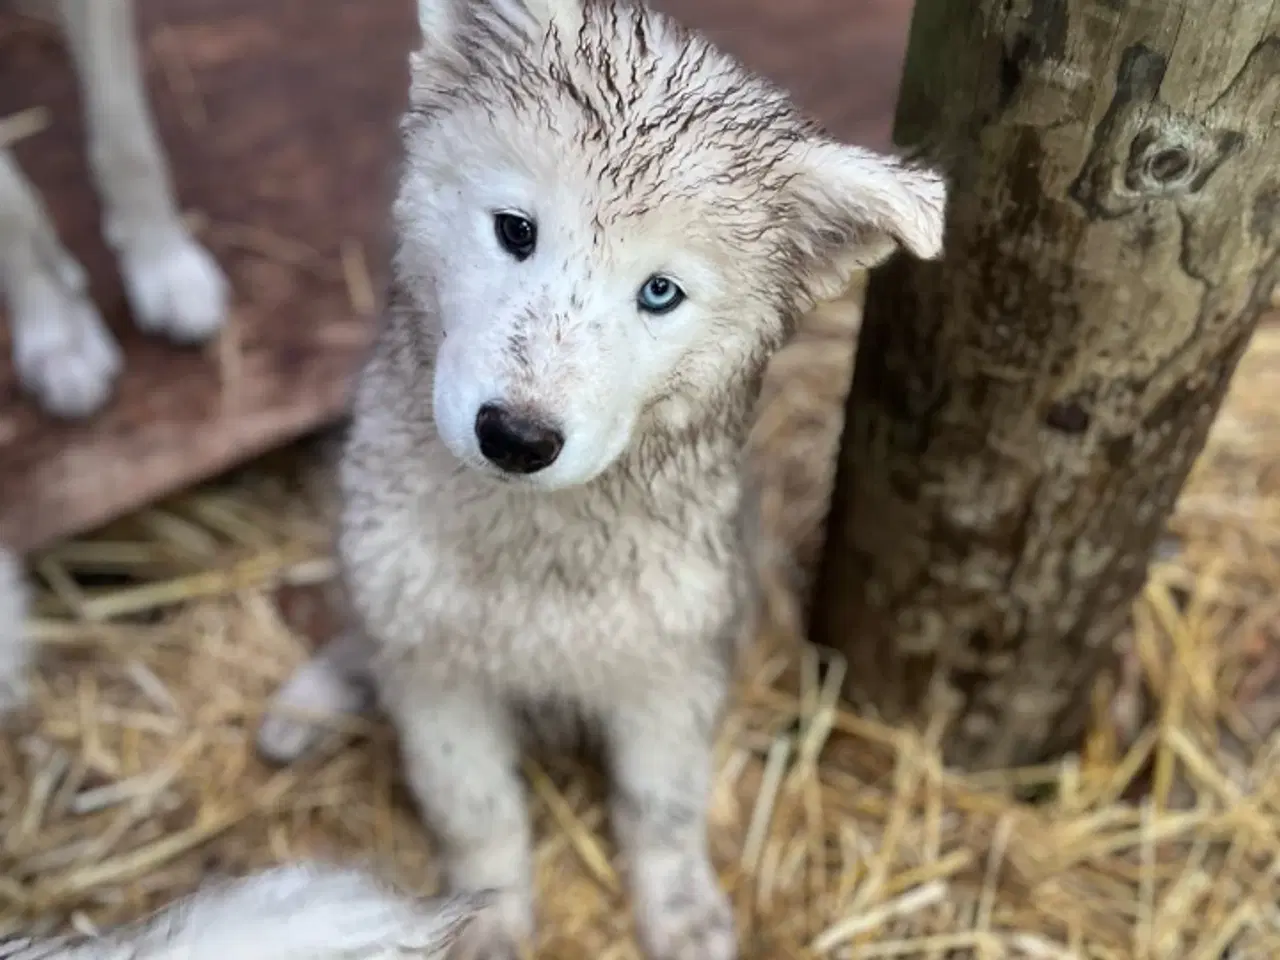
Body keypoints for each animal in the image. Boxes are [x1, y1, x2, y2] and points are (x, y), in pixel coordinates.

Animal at [254, 1, 947, 960]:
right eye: (516, 230)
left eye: (660, 293)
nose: (516, 436)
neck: (536, 544)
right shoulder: (436, 670)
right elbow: (477, 812)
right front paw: (485, 918)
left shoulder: (670, 665)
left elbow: (661, 809)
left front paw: (681, 909)